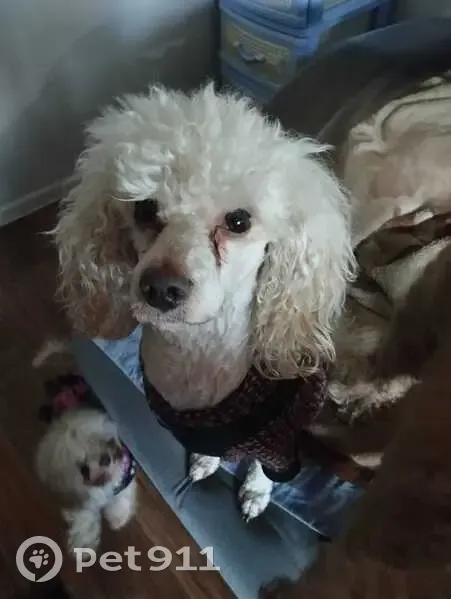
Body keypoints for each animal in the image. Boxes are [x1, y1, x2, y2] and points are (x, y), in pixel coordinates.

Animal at [36, 378, 137, 553]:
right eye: (83, 466)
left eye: (100, 439)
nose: (105, 458)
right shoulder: (87, 498)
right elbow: (86, 516)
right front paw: (83, 543)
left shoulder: (126, 476)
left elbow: (122, 497)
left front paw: (118, 518)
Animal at [53, 84, 355, 519]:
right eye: (144, 208)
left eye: (239, 221)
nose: (160, 289)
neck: (198, 352)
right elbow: (206, 451)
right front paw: (205, 462)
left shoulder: (281, 443)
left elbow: (264, 471)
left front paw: (255, 493)